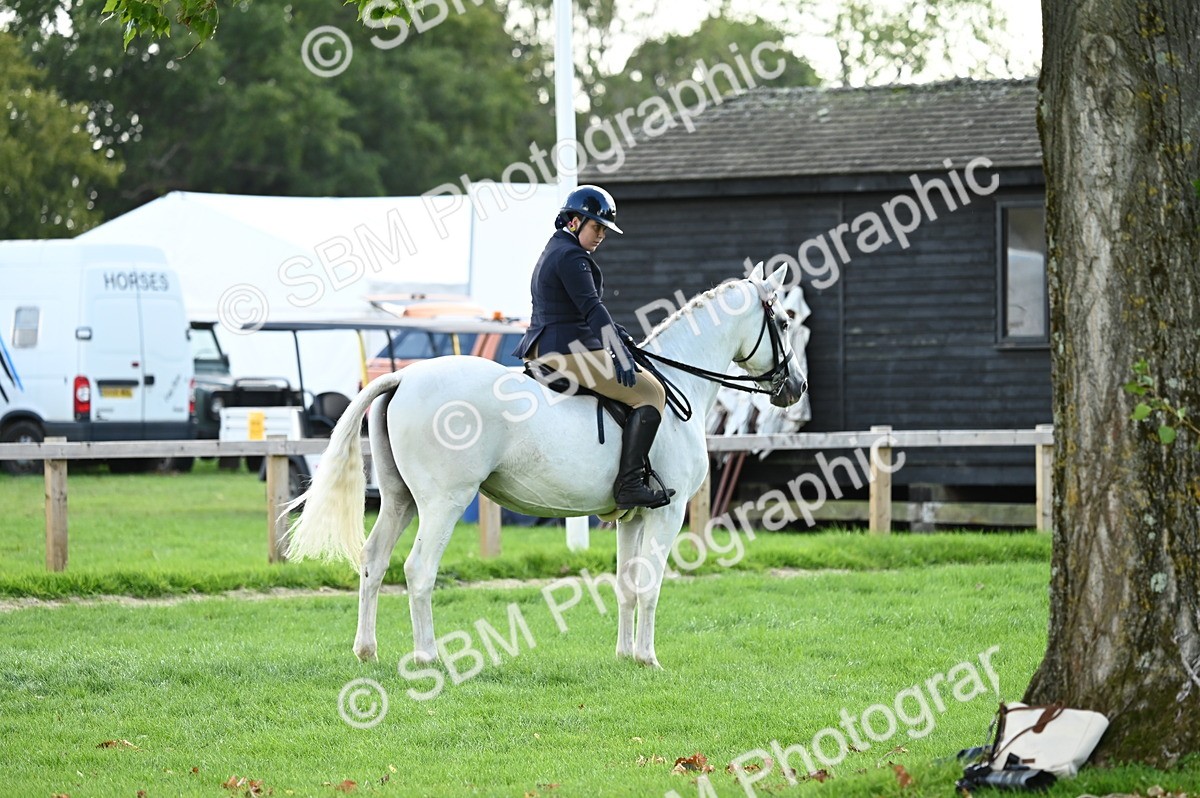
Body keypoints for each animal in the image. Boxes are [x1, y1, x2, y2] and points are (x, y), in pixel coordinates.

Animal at [286, 263, 808, 668]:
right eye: (783, 321)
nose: (796, 387)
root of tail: (403, 377)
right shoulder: (668, 512)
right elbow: (651, 585)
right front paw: (648, 658)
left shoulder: (634, 515)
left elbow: (626, 584)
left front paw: (625, 657)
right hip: (443, 502)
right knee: (418, 570)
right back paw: (427, 657)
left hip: (400, 500)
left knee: (373, 561)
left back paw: (366, 650)